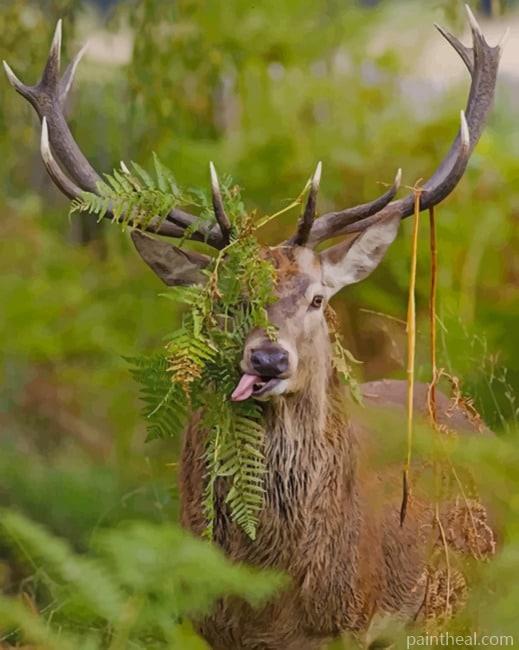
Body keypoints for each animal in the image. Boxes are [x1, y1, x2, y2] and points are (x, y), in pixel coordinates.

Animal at [3, 7, 502, 650]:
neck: (275, 601)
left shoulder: (356, 623)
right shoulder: (209, 624)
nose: (268, 360)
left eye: (317, 298)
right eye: (226, 301)